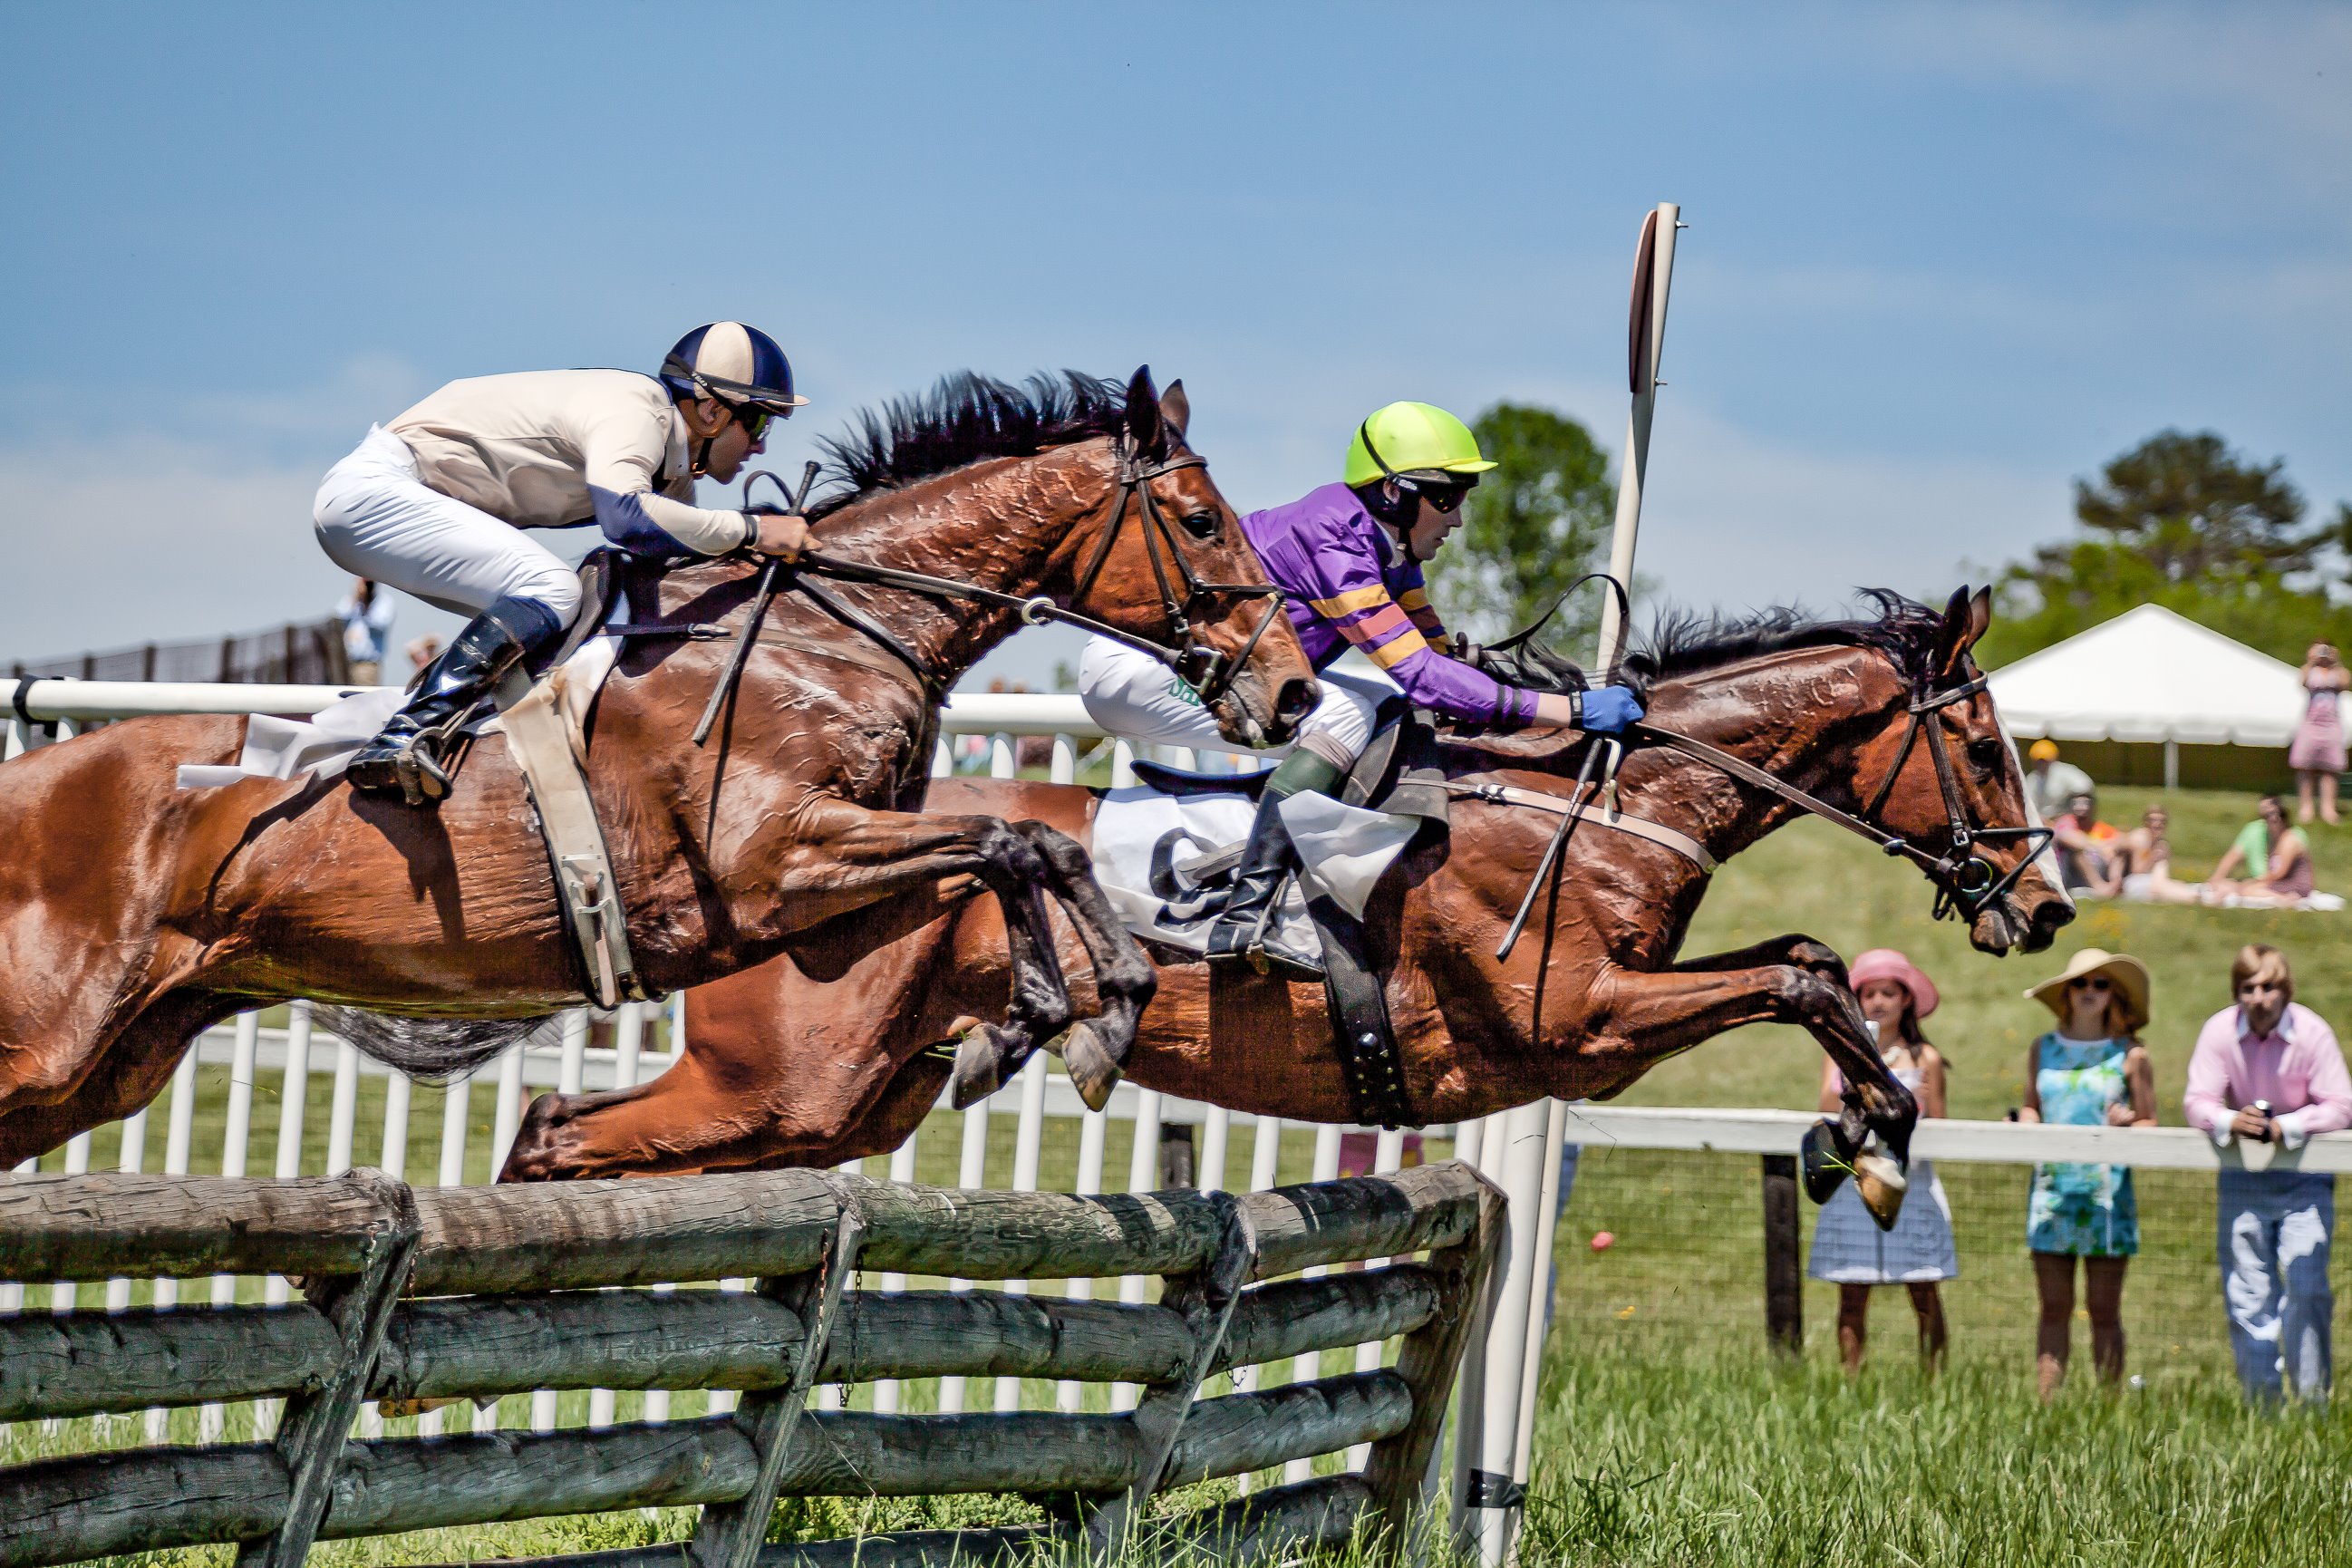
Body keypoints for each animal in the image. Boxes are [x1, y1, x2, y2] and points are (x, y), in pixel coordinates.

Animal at [0, 364, 1317, 1166]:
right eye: (1202, 522)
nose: (1293, 689)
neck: (828, 628)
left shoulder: (842, 875)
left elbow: (1021, 846)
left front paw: (1074, 1011)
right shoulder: (769, 863)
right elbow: (1012, 837)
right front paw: (1070, 1013)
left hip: (111, 1062)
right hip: (52, 1038)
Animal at [505, 595, 2069, 1222]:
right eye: (1983, 743)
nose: (2044, 907)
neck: (1598, 808)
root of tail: (756, 841)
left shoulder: (1608, 1015)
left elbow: (1805, 957)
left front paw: (1856, 1130)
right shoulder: (1579, 1025)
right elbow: (1797, 975)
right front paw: (1857, 1140)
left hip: (842, 1098)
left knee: (586, 1138)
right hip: (783, 1074)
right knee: (553, 1134)